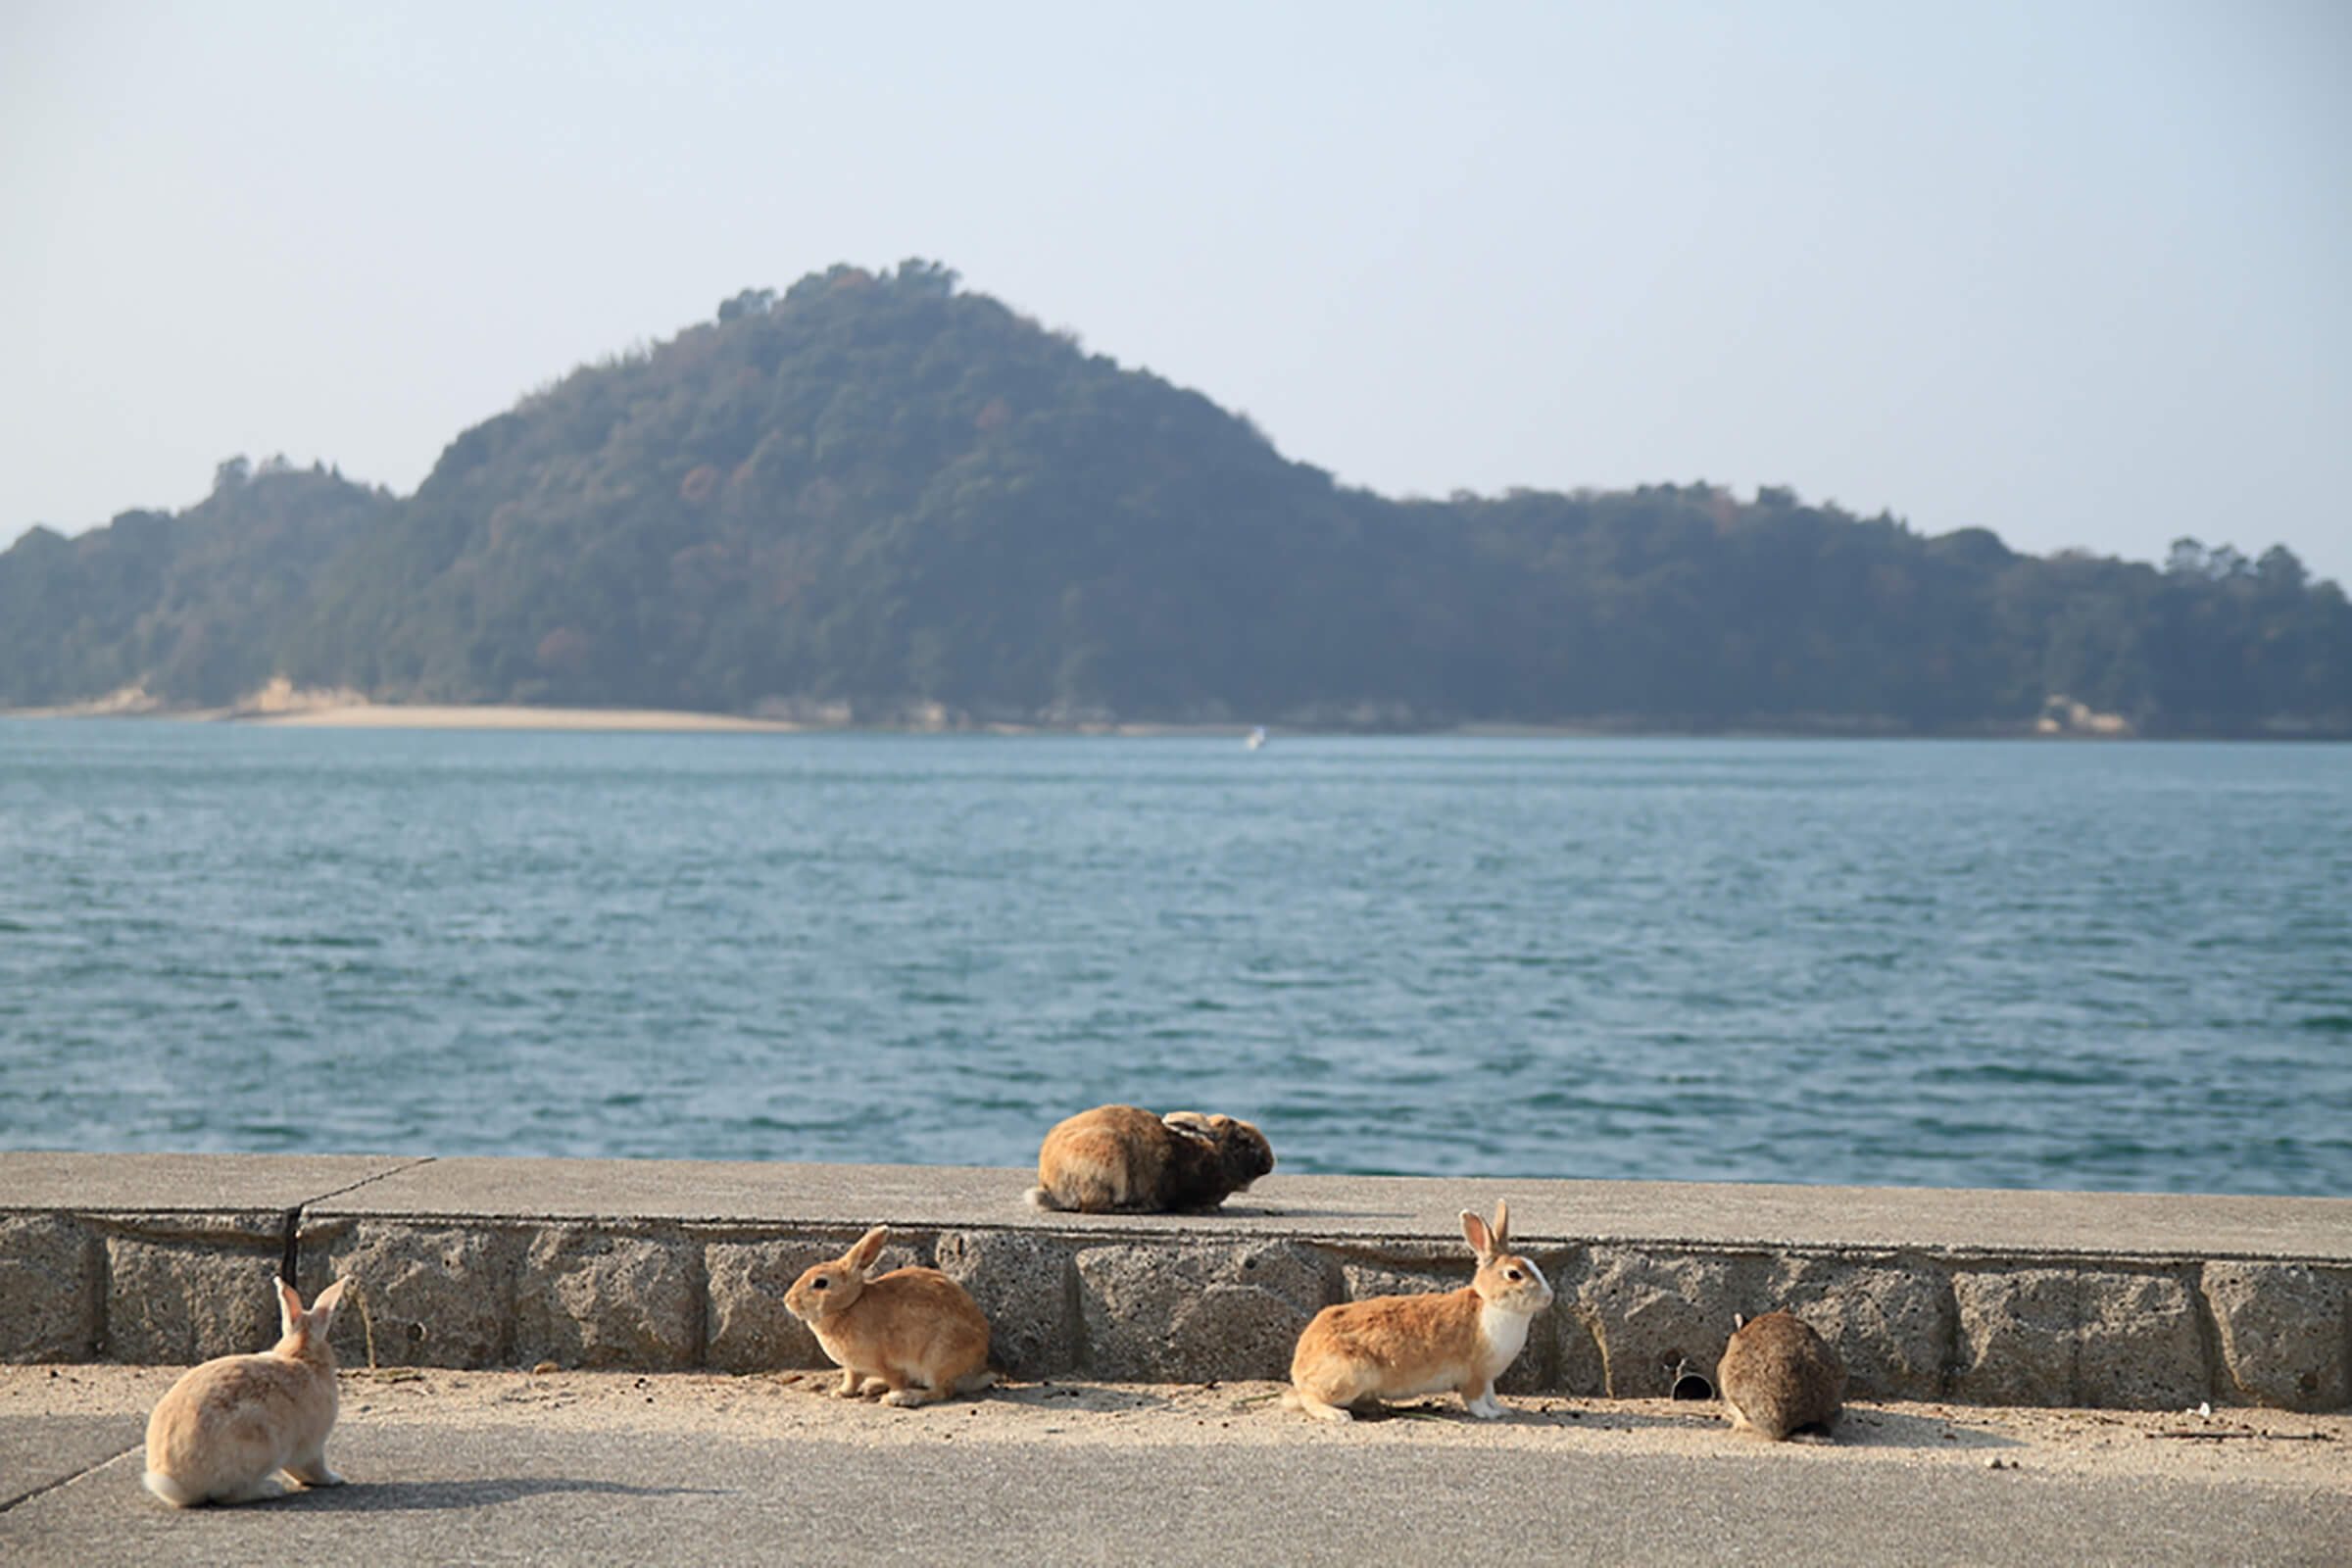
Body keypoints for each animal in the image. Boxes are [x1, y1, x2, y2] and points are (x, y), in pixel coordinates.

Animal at [144, 1278, 348, 1504]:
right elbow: (311, 1468)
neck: (300, 1356)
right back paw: (271, 1489)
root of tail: (177, 1485)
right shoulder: (310, 1446)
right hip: (261, 1446)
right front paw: (334, 1479)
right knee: (228, 1495)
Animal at [780, 1222, 992, 1410]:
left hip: (938, 1359)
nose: (787, 1301)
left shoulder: (889, 1365)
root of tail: (980, 1366)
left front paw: (894, 1396)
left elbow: (897, 1381)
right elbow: (851, 1381)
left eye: (820, 1283)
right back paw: (872, 1386)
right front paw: (840, 1393)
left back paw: (904, 1398)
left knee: (941, 1391)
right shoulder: (853, 1367)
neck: (849, 1306)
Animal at [1030, 1104, 1279, 1212]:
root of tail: (1049, 1182)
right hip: (1111, 1159)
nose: (1269, 1163)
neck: (1210, 1153)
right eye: (1243, 1141)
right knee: (1092, 1206)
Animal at [1289, 1203, 1543, 1419]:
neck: (1491, 1304)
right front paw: (1489, 1415)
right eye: (1514, 1274)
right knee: (1308, 1398)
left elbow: (1491, 1395)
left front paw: (1501, 1410)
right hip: (1352, 1373)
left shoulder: (1488, 1376)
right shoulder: (1474, 1374)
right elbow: (1476, 1400)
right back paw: (1337, 1415)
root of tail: (1298, 1367)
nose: (1548, 1296)